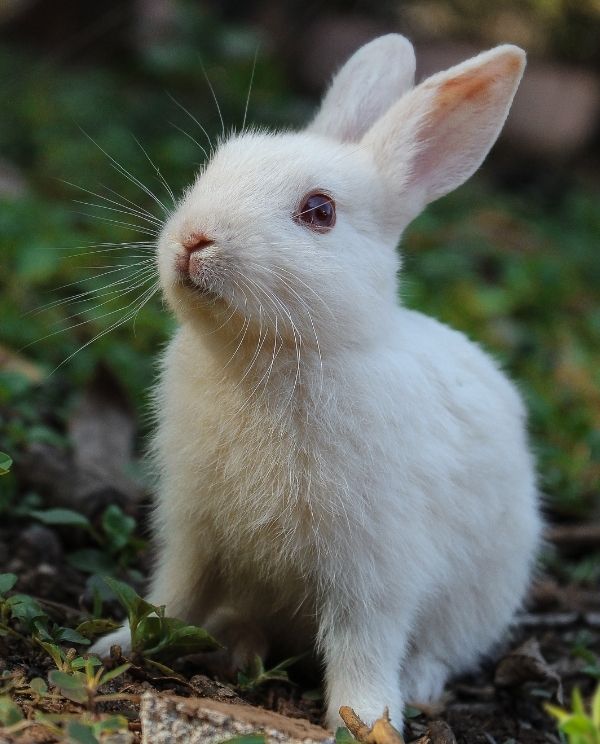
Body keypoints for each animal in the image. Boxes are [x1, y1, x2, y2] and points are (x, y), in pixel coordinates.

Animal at [92, 35, 541, 732]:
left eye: (320, 211)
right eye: (215, 165)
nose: (194, 239)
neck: (272, 354)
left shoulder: (373, 568)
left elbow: (363, 644)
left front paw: (366, 721)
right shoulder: (193, 531)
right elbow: (172, 594)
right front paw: (117, 645)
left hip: (483, 593)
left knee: (441, 648)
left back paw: (417, 684)